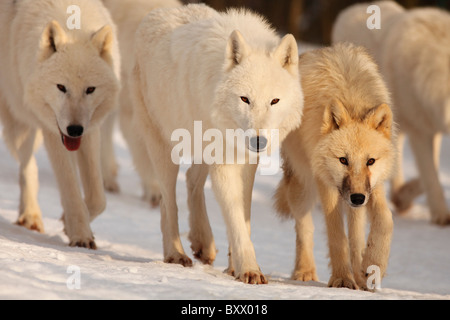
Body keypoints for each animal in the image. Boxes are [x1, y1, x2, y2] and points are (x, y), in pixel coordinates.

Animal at [0, 0, 120, 249]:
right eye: (61, 87)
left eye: (90, 89)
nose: (74, 129)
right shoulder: (52, 131)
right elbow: (70, 187)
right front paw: (80, 235)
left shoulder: (90, 130)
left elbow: (98, 197)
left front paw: (67, 222)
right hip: (17, 119)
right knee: (27, 167)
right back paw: (31, 215)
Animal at [132, 3, 304, 284]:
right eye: (245, 99)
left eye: (274, 101)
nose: (258, 141)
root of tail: (157, 13)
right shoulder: (224, 164)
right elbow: (235, 218)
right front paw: (249, 270)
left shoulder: (247, 163)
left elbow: (244, 217)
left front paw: (235, 267)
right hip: (164, 147)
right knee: (168, 202)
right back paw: (175, 253)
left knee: (191, 180)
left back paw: (203, 242)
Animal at [274, 43, 394, 292]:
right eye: (343, 160)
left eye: (370, 161)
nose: (357, 198)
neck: (351, 98)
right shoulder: (327, 184)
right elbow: (337, 234)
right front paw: (342, 280)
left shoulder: (373, 186)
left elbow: (385, 220)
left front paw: (373, 264)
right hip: (302, 185)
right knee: (304, 227)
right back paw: (305, 271)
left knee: (356, 233)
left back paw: (360, 274)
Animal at [332, 3, 450, 228]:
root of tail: (351, 9)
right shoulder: (420, 130)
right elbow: (430, 174)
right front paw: (441, 216)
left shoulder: (431, 126)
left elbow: (431, 173)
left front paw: (403, 197)